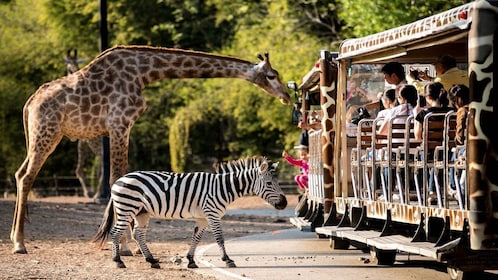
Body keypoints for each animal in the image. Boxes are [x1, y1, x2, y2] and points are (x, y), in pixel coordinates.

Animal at [64, 50, 103, 199]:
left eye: (76, 64)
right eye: (69, 67)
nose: (75, 72)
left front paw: (90, 193)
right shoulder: (82, 141)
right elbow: (80, 169)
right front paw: (88, 192)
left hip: (96, 144)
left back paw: (98, 194)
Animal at [91, 156, 286, 268]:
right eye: (269, 184)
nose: (284, 203)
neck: (222, 188)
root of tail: (119, 180)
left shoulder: (203, 218)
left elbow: (196, 238)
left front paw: (191, 260)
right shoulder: (212, 214)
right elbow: (219, 238)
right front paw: (228, 260)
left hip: (142, 212)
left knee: (138, 234)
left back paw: (152, 261)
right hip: (127, 208)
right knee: (116, 233)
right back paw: (119, 261)